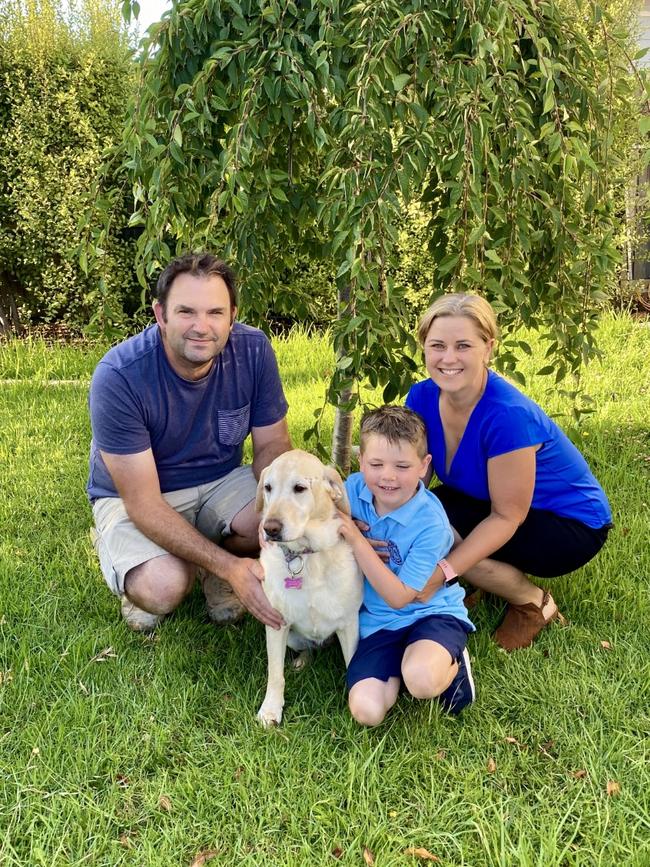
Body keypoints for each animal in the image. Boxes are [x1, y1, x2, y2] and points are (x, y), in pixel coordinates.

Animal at [256, 448, 362, 724]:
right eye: (268, 487)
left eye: (300, 488)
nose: (269, 528)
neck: (305, 555)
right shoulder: (277, 625)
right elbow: (275, 674)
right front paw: (271, 709)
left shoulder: (349, 623)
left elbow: (353, 664)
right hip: (293, 638)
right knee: (306, 650)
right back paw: (302, 661)